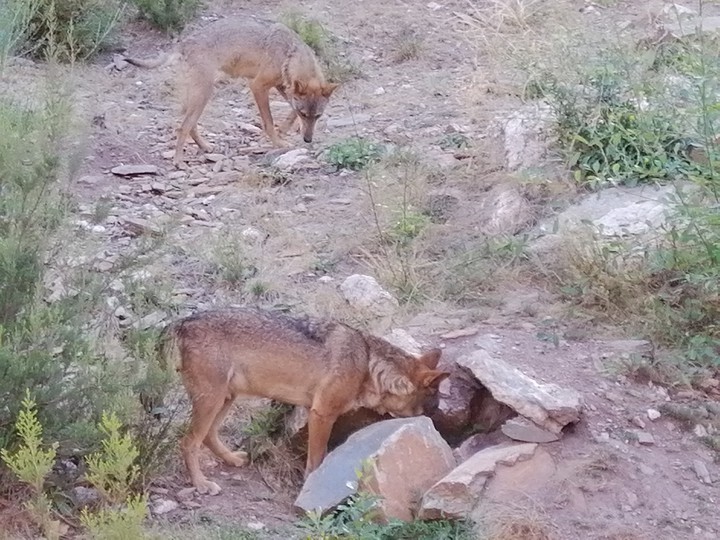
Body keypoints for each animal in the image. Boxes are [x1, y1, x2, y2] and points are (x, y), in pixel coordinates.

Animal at [123, 16, 338, 165]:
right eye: (306, 114)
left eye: (317, 116)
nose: (308, 140)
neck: (289, 53)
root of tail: (184, 41)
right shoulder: (257, 86)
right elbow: (269, 122)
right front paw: (279, 143)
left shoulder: (283, 87)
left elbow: (291, 110)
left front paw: (284, 129)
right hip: (205, 93)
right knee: (182, 127)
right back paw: (178, 161)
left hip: (196, 95)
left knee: (189, 124)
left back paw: (204, 147)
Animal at [158, 307, 448, 495]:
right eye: (432, 407)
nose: (436, 427)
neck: (366, 364)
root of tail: (184, 321)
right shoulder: (321, 414)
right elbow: (317, 459)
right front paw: (311, 487)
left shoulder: (311, 411)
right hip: (213, 401)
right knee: (189, 442)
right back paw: (200, 484)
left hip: (226, 399)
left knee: (208, 436)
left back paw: (232, 459)